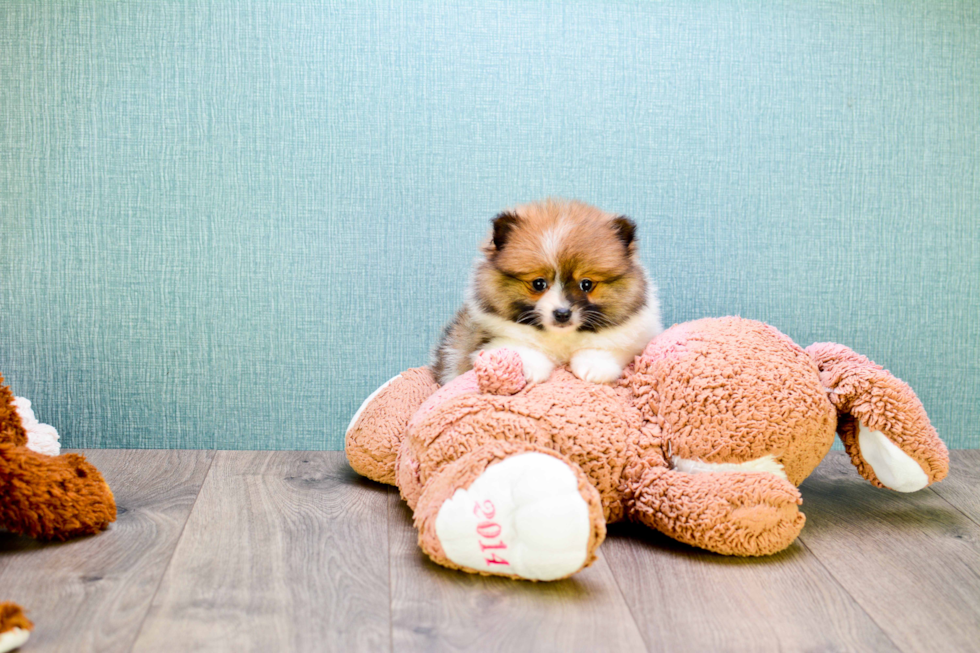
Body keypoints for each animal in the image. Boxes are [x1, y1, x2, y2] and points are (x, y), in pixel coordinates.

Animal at [432, 196, 664, 384]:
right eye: (538, 283)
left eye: (586, 284)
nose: (562, 313)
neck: (560, 339)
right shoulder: (483, 339)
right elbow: (515, 346)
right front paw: (530, 369)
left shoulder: (637, 337)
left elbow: (610, 347)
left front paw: (594, 368)